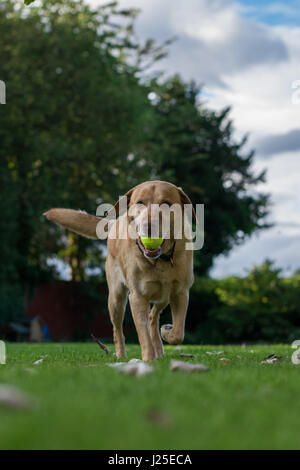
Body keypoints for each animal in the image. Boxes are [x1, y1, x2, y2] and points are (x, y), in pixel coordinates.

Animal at [44, 180, 195, 360]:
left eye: (166, 203)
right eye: (140, 202)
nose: (148, 226)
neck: (159, 261)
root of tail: (115, 223)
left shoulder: (181, 293)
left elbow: (178, 334)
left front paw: (167, 334)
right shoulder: (137, 297)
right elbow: (143, 335)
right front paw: (148, 359)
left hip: (163, 297)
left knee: (153, 316)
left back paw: (159, 345)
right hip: (116, 299)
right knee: (118, 331)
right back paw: (121, 355)